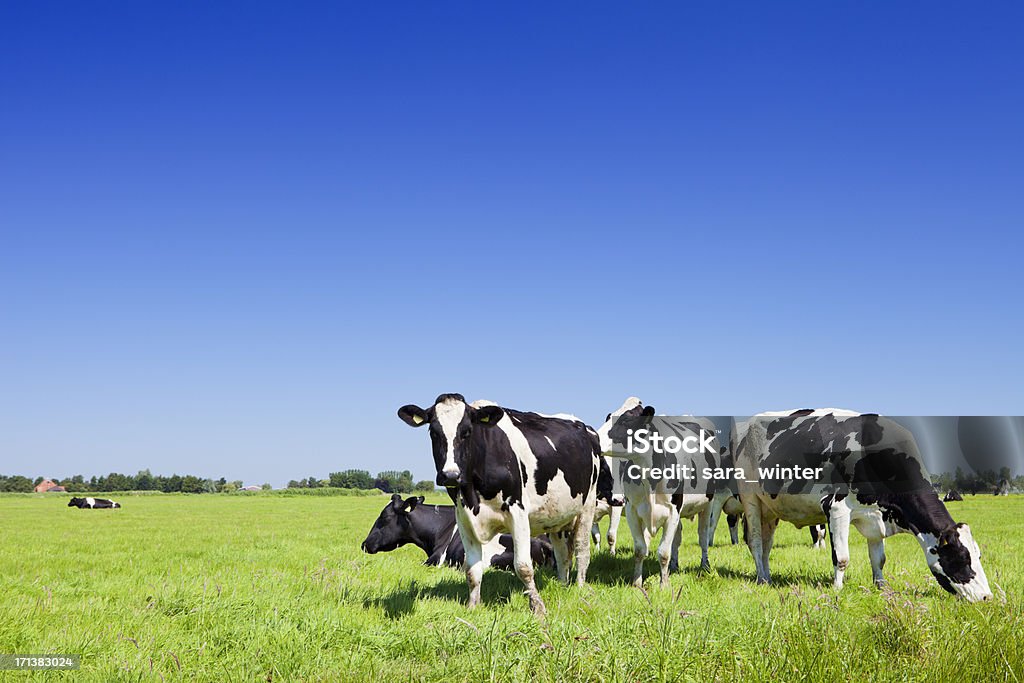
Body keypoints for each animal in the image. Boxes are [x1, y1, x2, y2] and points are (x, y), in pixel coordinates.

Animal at [397, 393, 602, 618]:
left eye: (467, 432)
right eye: (433, 432)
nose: (450, 475)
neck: (474, 495)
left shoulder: (517, 512)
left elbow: (523, 567)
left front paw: (538, 608)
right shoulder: (464, 519)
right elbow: (472, 570)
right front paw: (472, 606)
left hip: (587, 505)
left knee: (582, 548)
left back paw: (580, 588)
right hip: (557, 516)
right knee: (562, 553)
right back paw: (562, 585)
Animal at [598, 397, 737, 589]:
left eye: (626, 421)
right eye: (608, 417)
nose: (594, 437)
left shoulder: (672, 511)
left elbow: (663, 552)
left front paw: (664, 586)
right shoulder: (633, 510)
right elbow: (640, 549)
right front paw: (637, 583)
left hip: (708, 503)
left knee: (703, 536)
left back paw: (705, 565)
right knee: (677, 539)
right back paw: (674, 566)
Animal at [737, 409, 991, 602]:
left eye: (978, 555)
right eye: (962, 557)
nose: (987, 597)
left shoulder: (876, 517)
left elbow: (879, 559)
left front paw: (881, 586)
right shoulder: (836, 508)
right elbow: (841, 558)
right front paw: (837, 589)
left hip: (770, 510)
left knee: (767, 545)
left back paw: (768, 577)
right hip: (750, 500)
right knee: (756, 543)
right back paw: (761, 579)